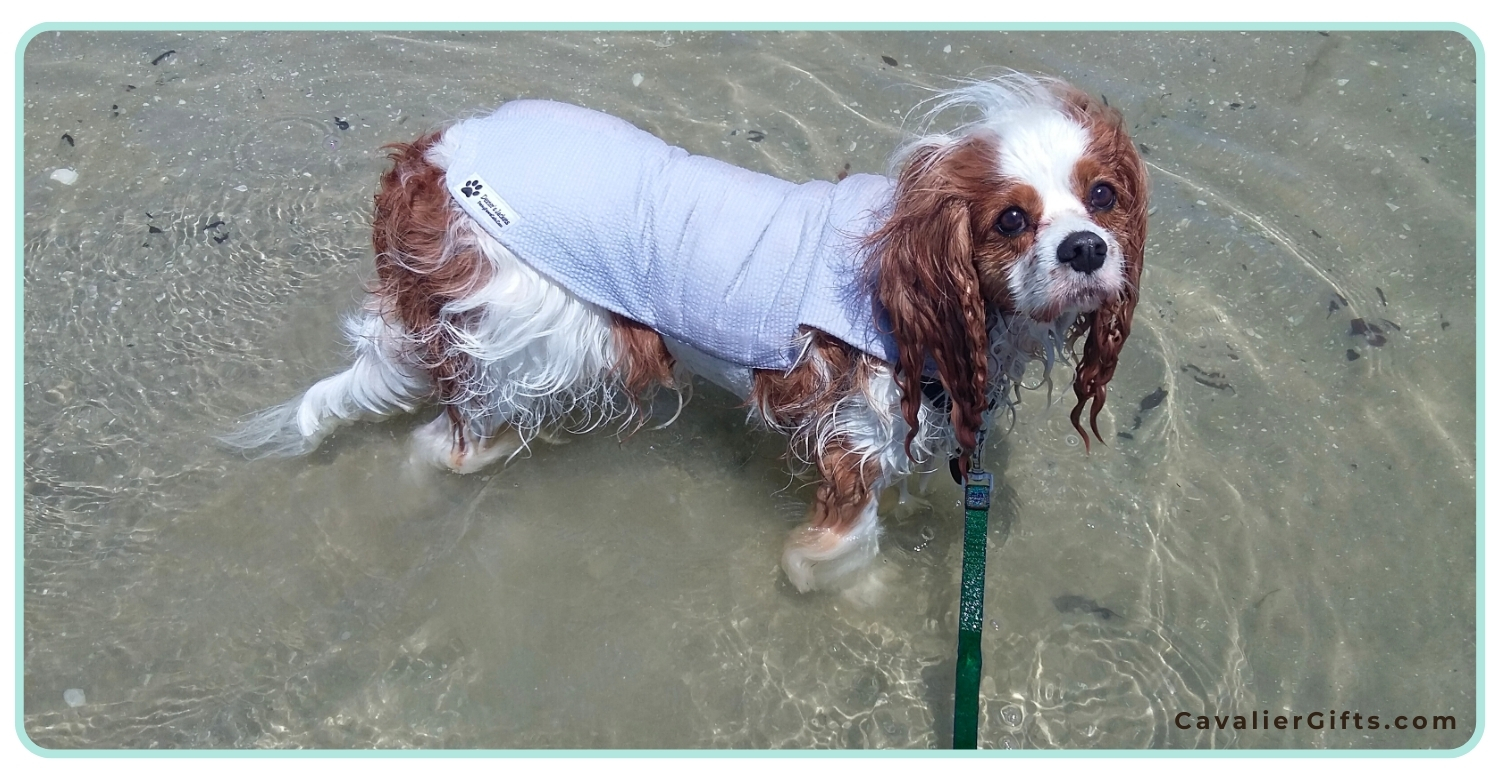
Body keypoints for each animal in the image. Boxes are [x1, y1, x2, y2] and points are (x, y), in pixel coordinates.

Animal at [228, 76, 1146, 594]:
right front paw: (856, 591)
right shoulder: (855, 435)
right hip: (535, 329)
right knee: (447, 439)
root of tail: (430, 160)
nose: (1086, 249)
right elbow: (838, 548)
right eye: (1011, 220)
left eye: (1102, 197)